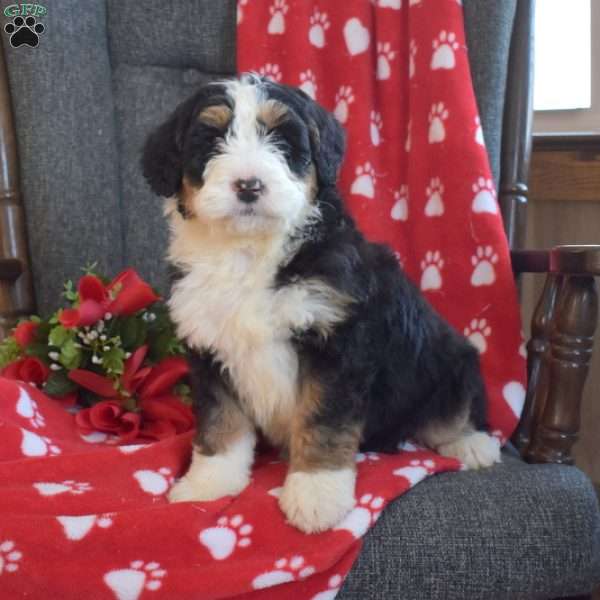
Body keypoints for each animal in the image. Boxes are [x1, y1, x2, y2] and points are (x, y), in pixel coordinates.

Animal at [142, 72, 502, 532]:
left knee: (453, 415)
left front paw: (316, 494)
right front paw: (209, 484)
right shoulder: (209, 349)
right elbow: (221, 420)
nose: (249, 185)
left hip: (449, 364)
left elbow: (322, 422)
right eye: (210, 141)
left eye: (282, 139)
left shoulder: (336, 344)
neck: (248, 252)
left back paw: (473, 445)